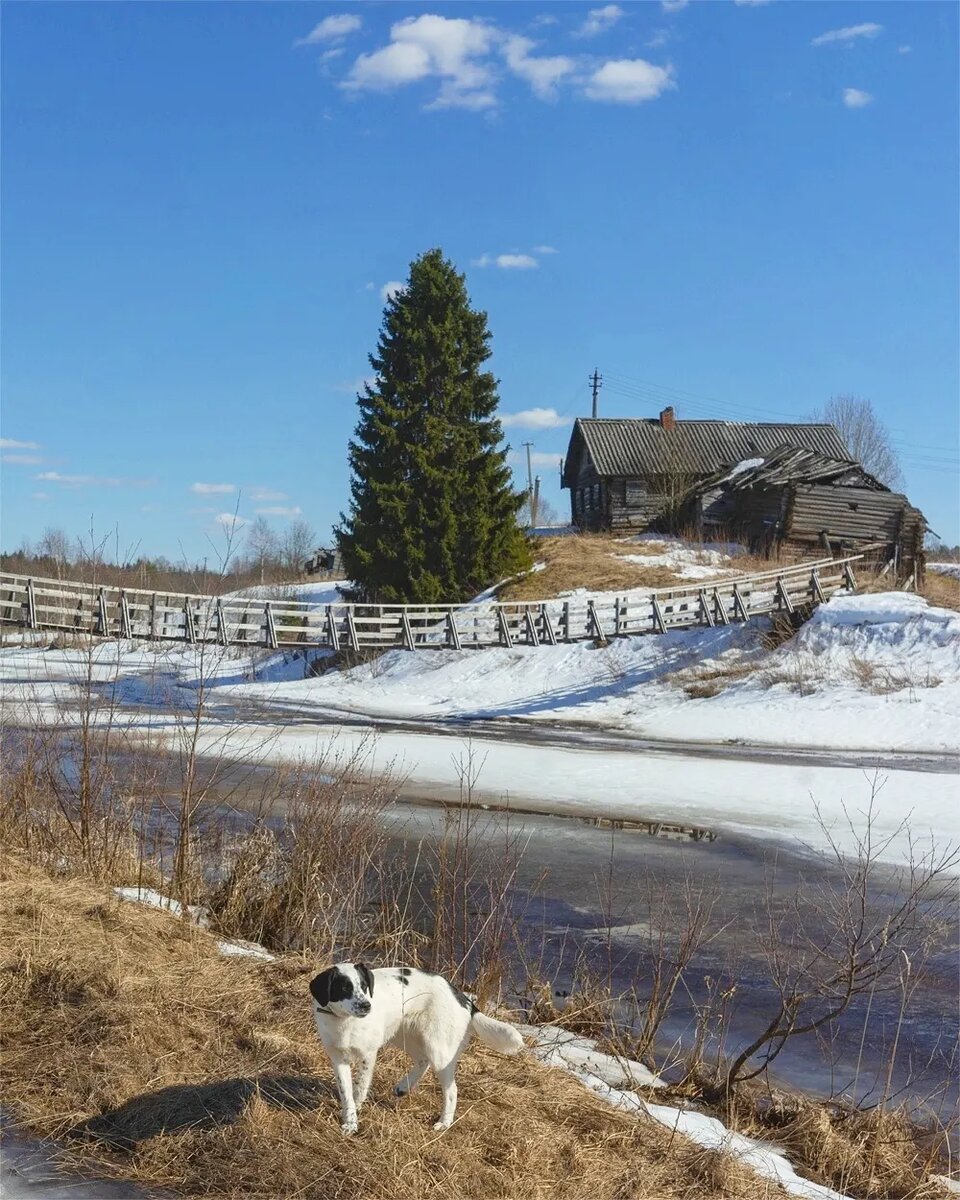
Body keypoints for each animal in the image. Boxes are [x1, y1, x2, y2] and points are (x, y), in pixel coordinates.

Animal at [312, 960, 525, 1128]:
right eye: (344, 988)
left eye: (364, 986)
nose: (366, 1006)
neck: (344, 1021)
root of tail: (463, 998)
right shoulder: (337, 1058)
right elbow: (346, 1092)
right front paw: (349, 1121)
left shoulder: (368, 1054)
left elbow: (360, 1088)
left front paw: (355, 1114)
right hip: (405, 1036)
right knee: (423, 1061)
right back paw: (404, 1087)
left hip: (439, 1050)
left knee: (451, 1090)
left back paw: (444, 1123)